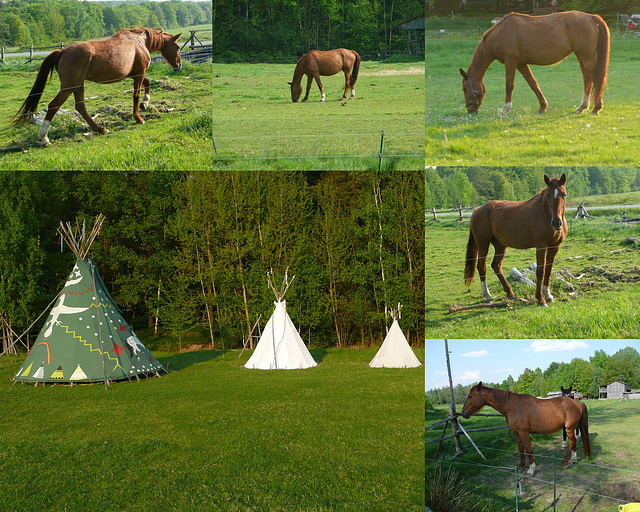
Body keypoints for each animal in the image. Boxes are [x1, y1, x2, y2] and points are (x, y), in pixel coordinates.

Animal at [12, 27, 182, 145]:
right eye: (178, 47)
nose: (179, 66)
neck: (138, 41)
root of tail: (61, 52)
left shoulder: (135, 74)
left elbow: (147, 83)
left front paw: (145, 103)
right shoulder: (138, 74)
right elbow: (136, 95)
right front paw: (139, 117)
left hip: (78, 85)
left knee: (80, 106)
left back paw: (100, 129)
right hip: (69, 86)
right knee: (54, 105)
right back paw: (44, 137)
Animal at [460, 11, 608, 116]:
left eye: (464, 88)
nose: (471, 110)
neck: (500, 33)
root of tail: (590, 17)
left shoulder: (510, 61)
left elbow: (509, 85)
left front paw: (505, 109)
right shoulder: (521, 64)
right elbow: (533, 83)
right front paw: (543, 107)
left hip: (586, 57)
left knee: (597, 78)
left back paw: (597, 107)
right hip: (580, 56)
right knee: (587, 79)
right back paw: (582, 107)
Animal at [460, 382, 592, 474]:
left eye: (470, 396)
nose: (463, 413)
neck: (512, 406)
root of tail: (577, 403)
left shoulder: (524, 432)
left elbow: (528, 449)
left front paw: (531, 469)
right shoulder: (516, 433)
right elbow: (521, 449)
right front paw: (521, 466)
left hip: (569, 428)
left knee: (572, 441)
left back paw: (565, 462)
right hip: (571, 428)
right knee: (573, 442)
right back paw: (572, 460)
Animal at [464, 174, 564, 306]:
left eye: (564, 195)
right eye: (548, 195)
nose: (557, 222)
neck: (545, 215)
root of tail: (476, 211)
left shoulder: (555, 246)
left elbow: (548, 270)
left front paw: (548, 295)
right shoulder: (541, 246)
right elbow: (540, 271)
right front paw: (541, 299)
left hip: (501, 246)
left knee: (496, 265)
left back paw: (509, 292)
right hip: (483, 245)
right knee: (482, 267)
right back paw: (488, 296)